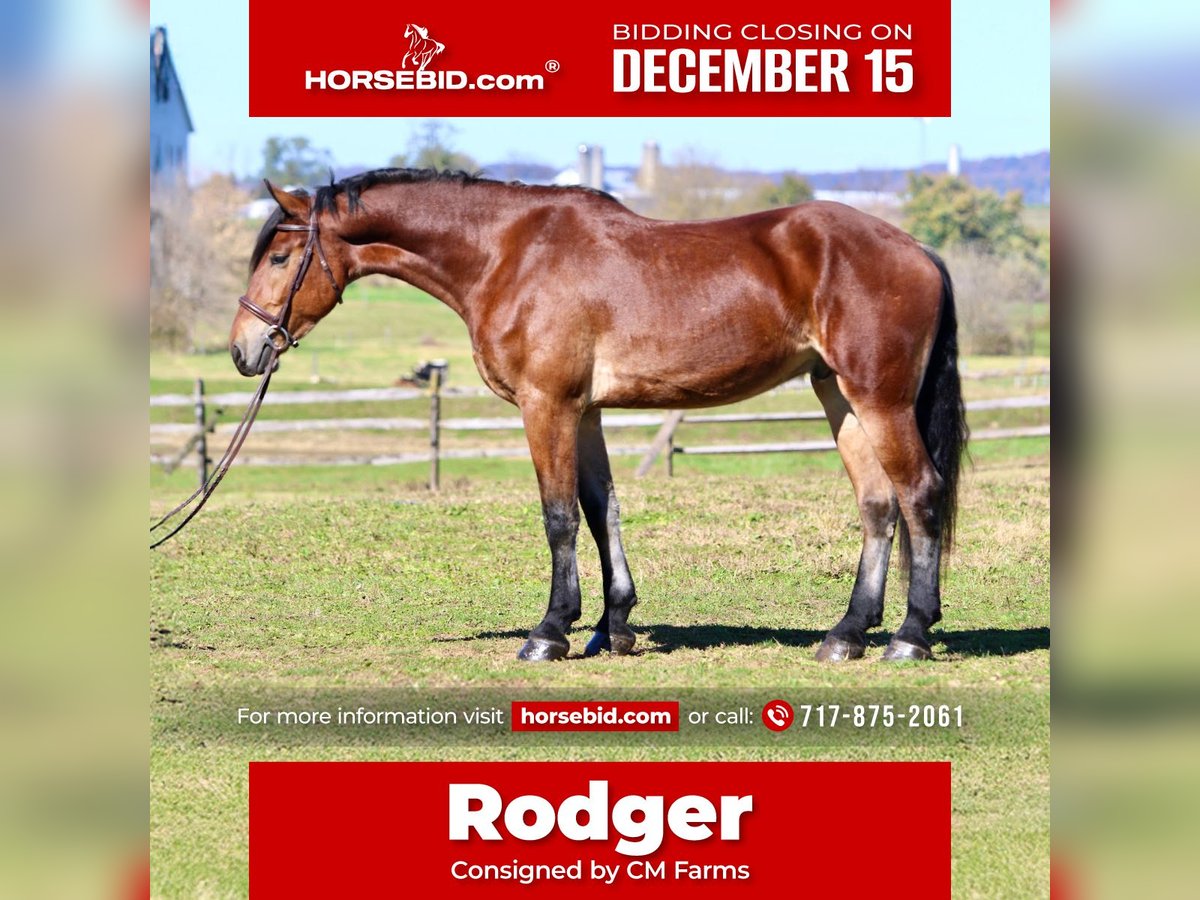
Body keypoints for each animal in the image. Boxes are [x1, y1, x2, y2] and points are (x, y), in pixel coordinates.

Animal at [230, 169, 968, 663]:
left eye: (280, 256)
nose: (244, 349)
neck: (506, 254)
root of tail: (920, 250)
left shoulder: (547, 406)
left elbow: (558, 515)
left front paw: (551, 630)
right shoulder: (584, 413)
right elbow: (599, 507)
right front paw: (611, 628)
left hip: (879, 399)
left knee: (919, 493)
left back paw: (909, 636)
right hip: (837, 395)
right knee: (877, 505)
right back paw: (847, 634)